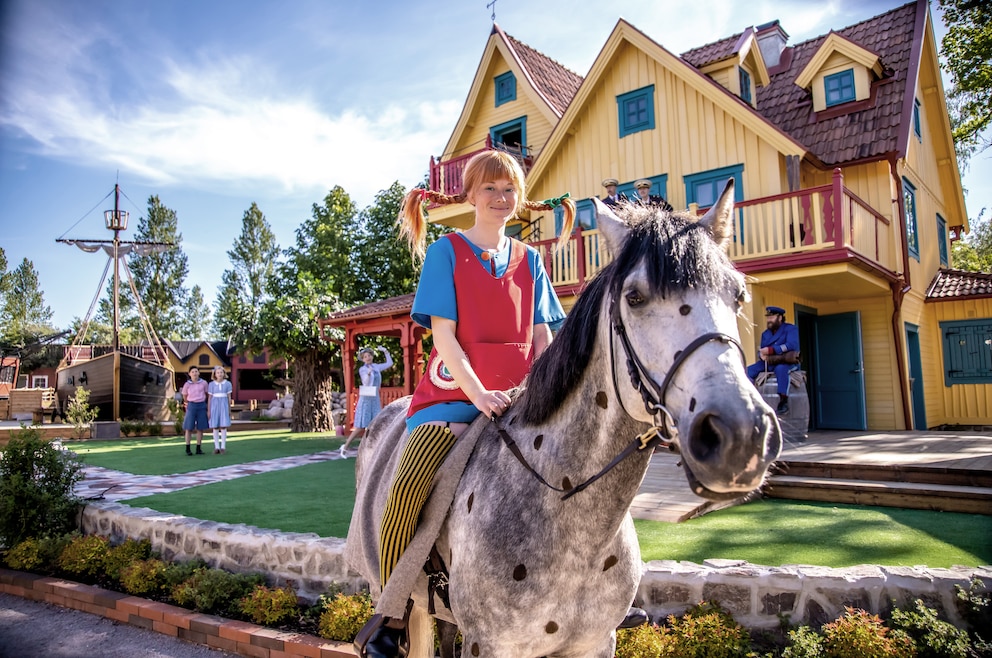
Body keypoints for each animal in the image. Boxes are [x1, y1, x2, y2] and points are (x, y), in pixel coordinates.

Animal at [348, 181, 784, 656]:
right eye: (634, 297)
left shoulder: (594, 643)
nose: (741, 435)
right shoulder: (491, 644)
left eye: (738, 295)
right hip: (389, 591)